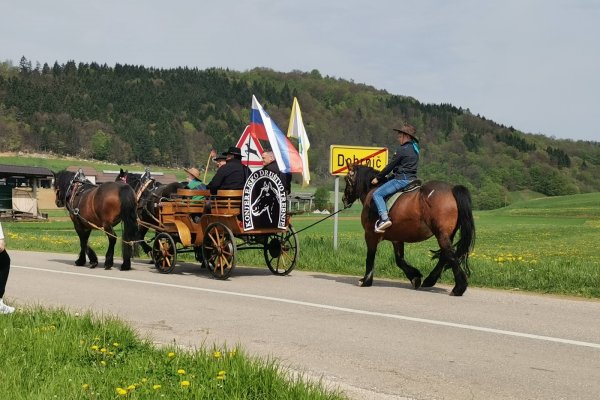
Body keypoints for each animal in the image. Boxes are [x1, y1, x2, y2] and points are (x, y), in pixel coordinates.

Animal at [342, 163, 474, 296]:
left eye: (346, 179)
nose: (344, 199)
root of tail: (452, 189)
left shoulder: (370, 235)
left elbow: (370, 257)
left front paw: (366, 281)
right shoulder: (397, 238)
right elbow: (399, 260)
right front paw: (415, 277)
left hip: (441, 234)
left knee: (450, 255)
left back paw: (459, 288)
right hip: (447, 235)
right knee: (444, 255)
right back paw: (430, 280)